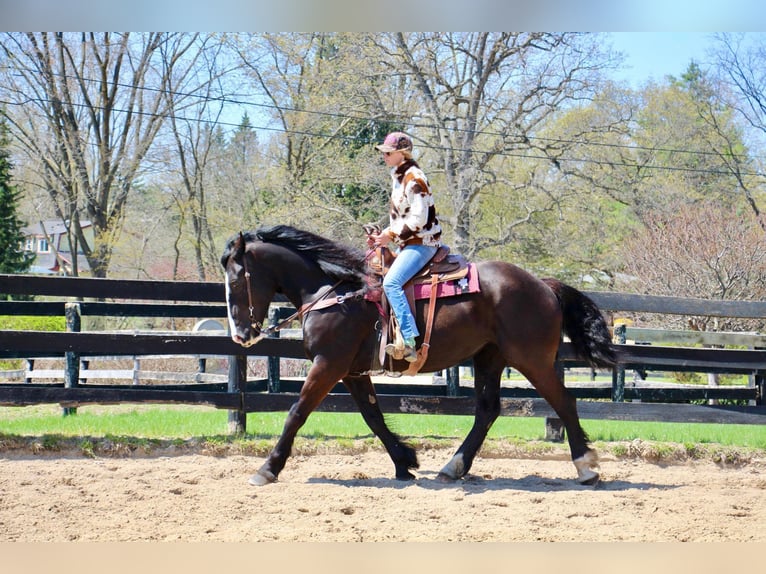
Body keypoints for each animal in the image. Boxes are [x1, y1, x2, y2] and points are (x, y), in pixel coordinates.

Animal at [220, 227, 616, 488]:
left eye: (237, 280)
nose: (240, 335)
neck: (332, 293)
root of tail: (544, 285)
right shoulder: (353, 372)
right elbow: (373, 417)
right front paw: (404, 462)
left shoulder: (328, 365)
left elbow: (296, 413)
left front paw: (267, 469)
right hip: (489, 358)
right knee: (487, 411)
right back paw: (453, 467)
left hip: (531, 359)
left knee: (564, 401)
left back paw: (586, 467)